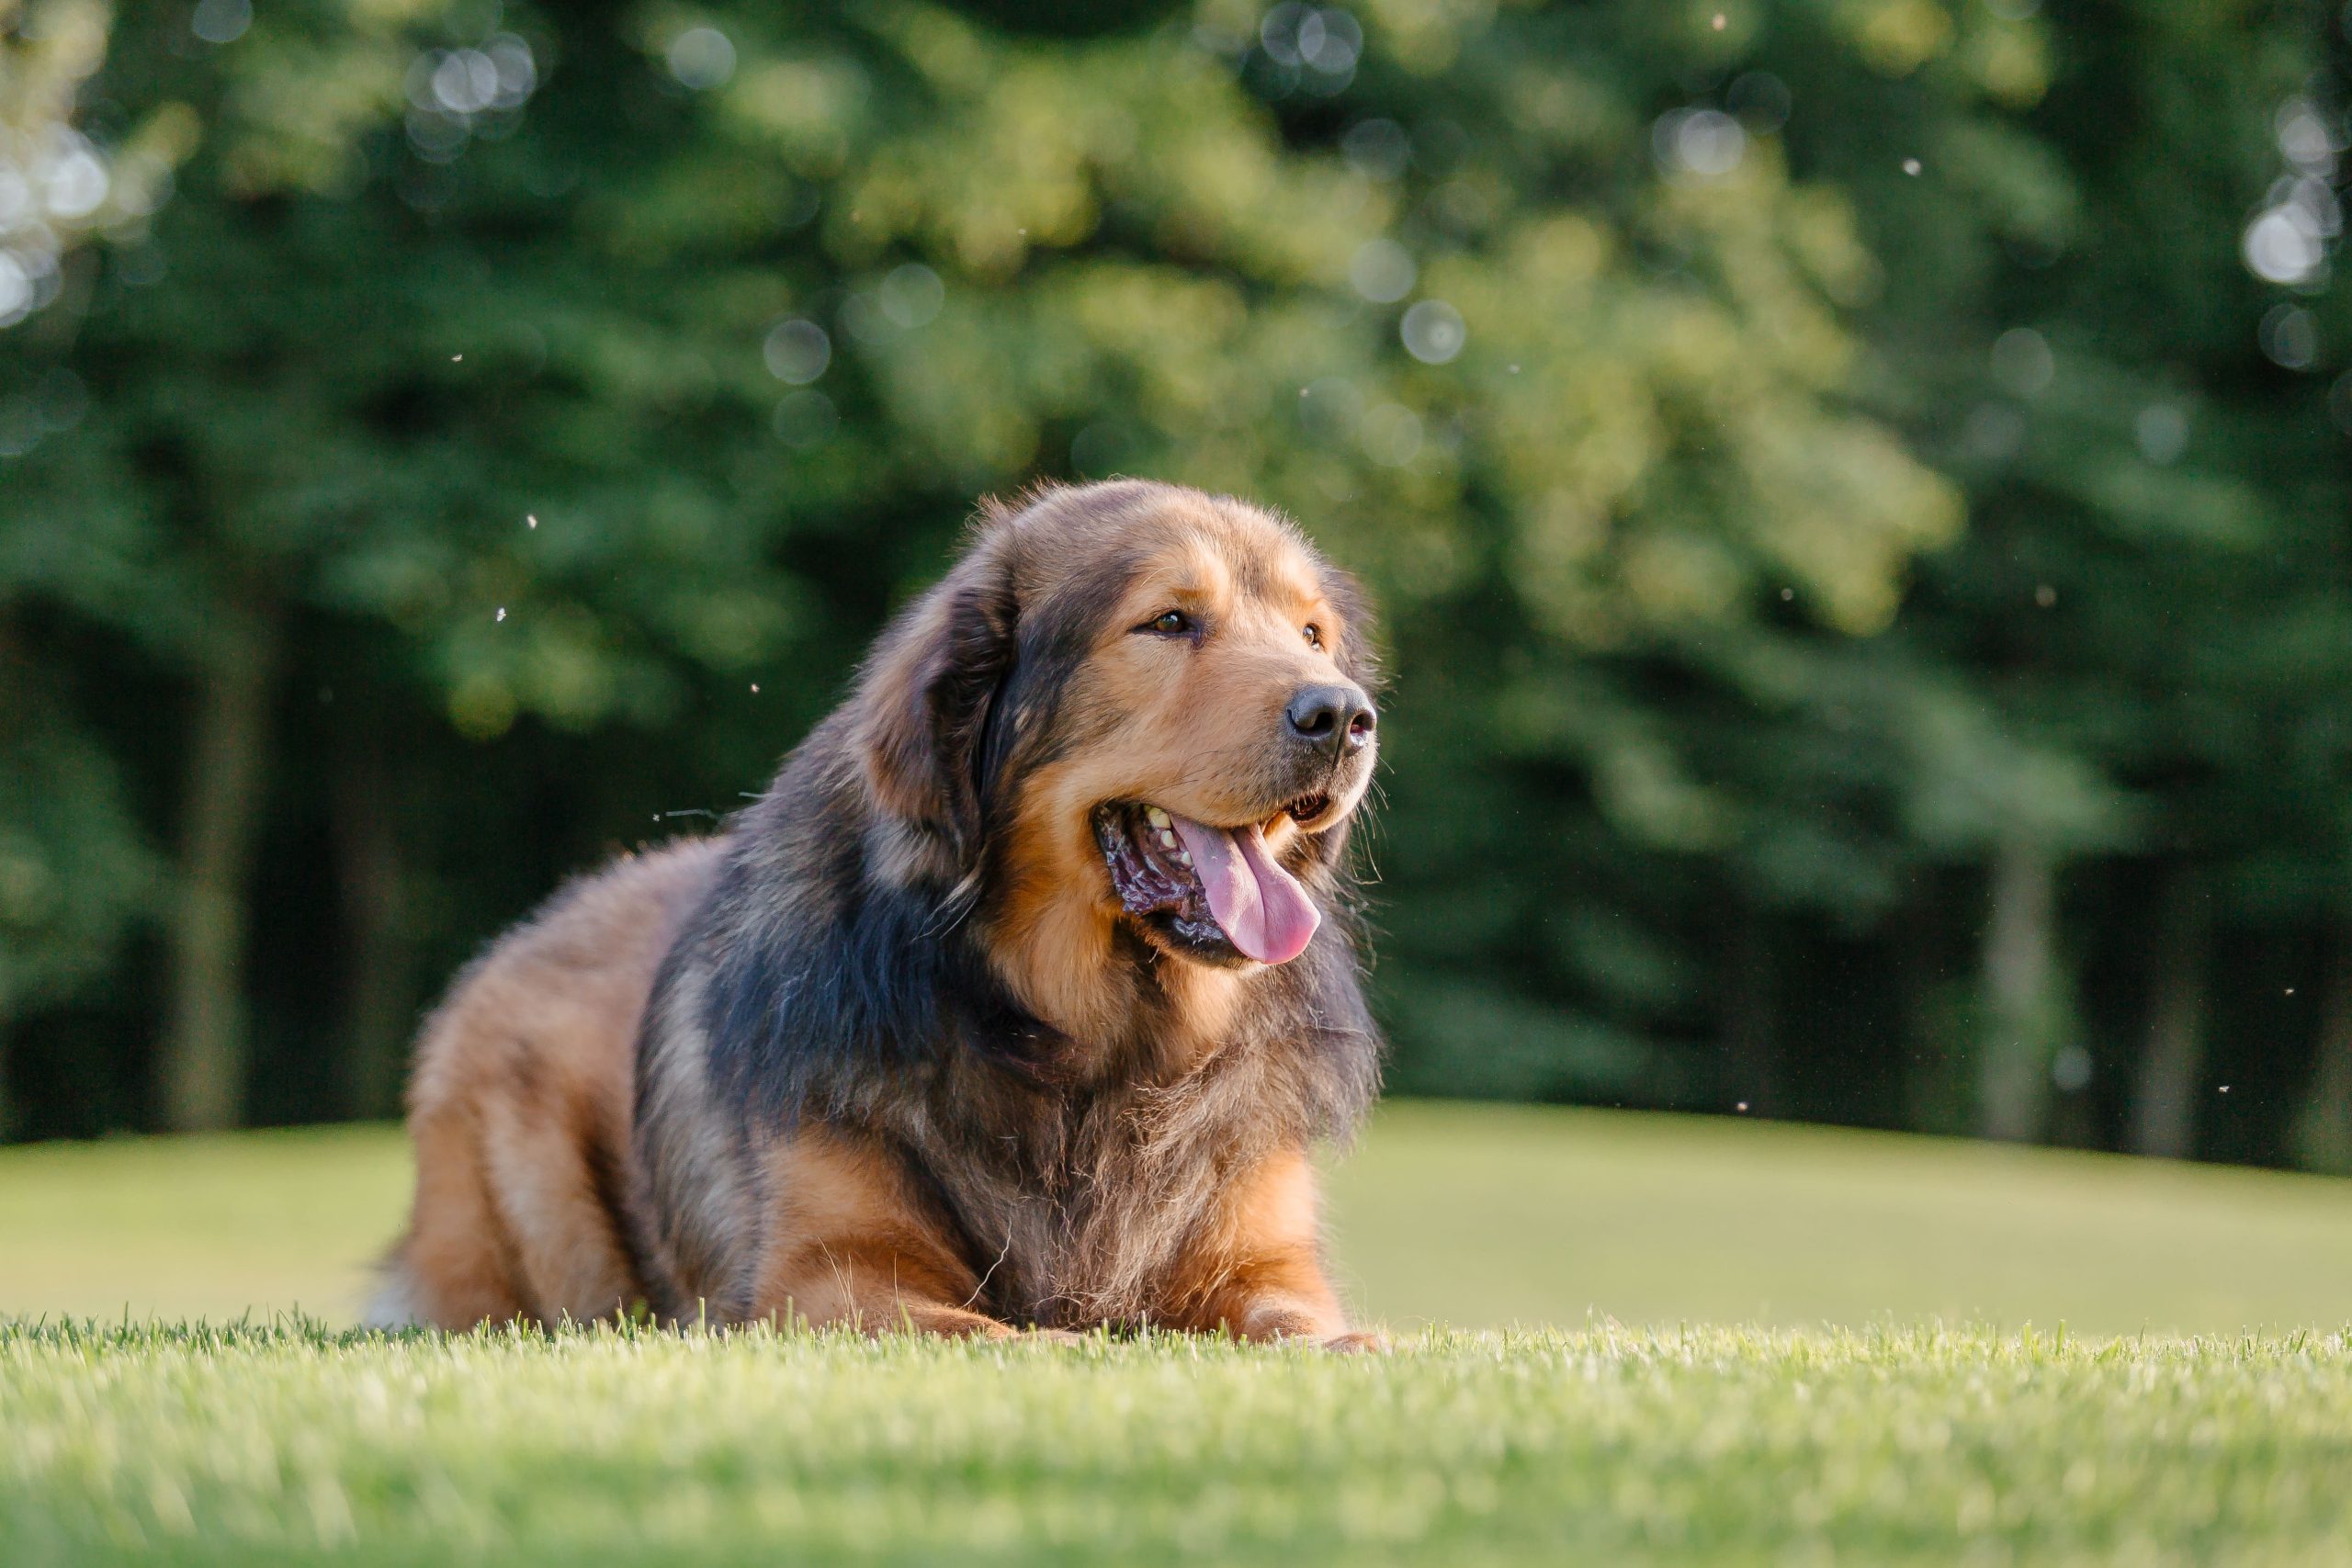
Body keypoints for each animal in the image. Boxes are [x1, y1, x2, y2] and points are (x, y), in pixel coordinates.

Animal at [374, 481, 1383, 1354]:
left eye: (1312, 635)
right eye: (1170, 621)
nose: (1344, 716)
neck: (1094, 1051)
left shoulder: (1260, 1258)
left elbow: (1308, 1321)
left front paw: (1356, 1347)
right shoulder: (829, 1278)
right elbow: (994, 1332)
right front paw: (1069, 1344)